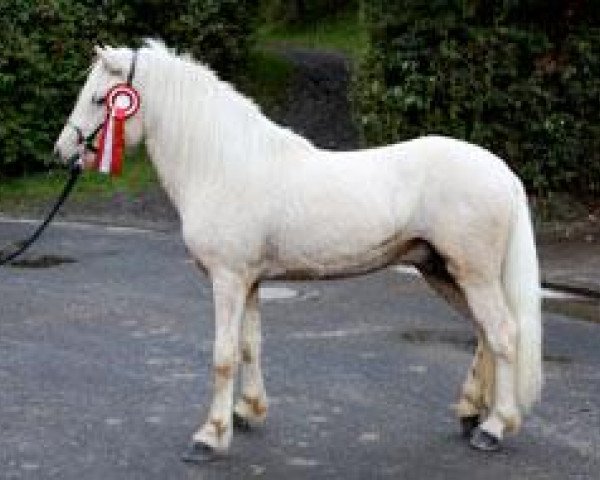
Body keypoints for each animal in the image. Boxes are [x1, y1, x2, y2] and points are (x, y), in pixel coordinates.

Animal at [56, 41, 544, 462]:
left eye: (100, 99)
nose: (63, 152)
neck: (223, 165)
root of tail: (503, 171)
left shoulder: (227, 279)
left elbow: (223, 355)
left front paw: (210, 436)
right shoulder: (250, 281)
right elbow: (249, 346)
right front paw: (248, 411)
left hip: (473, 274)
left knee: (503, 334)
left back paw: (493, 428)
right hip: (442, 271)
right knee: (484, 333)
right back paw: (470, 412)